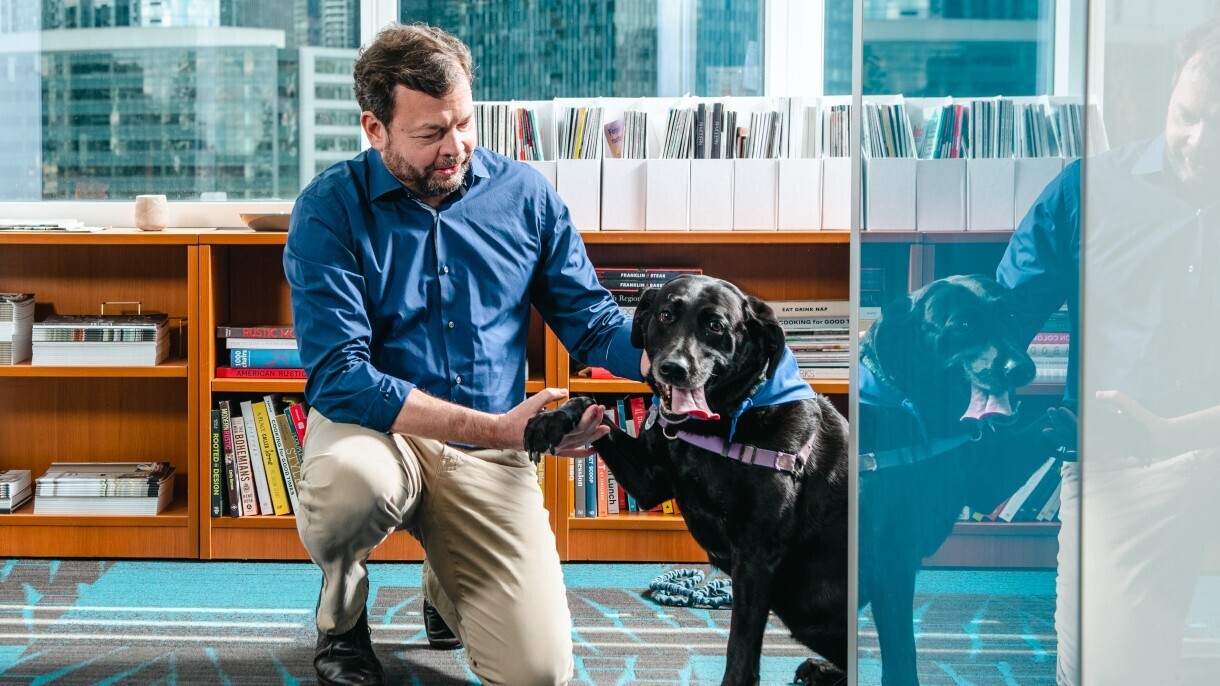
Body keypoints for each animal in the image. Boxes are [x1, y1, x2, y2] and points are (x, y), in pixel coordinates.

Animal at [524, 273, 849, 683]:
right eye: (665, 315)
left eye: (716, 326)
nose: (673, 368)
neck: (718, 423)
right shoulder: (648, 481)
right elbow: (590, 404)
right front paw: (552, 419)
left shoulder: (756, 556)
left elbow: (741, 649)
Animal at [858, 273, 1058, 683]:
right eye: (962, 325)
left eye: (1010, 315)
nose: (1022, 368)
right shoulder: (890, 562)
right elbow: (902, 659)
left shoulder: (984, 480)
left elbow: (1045, 424)